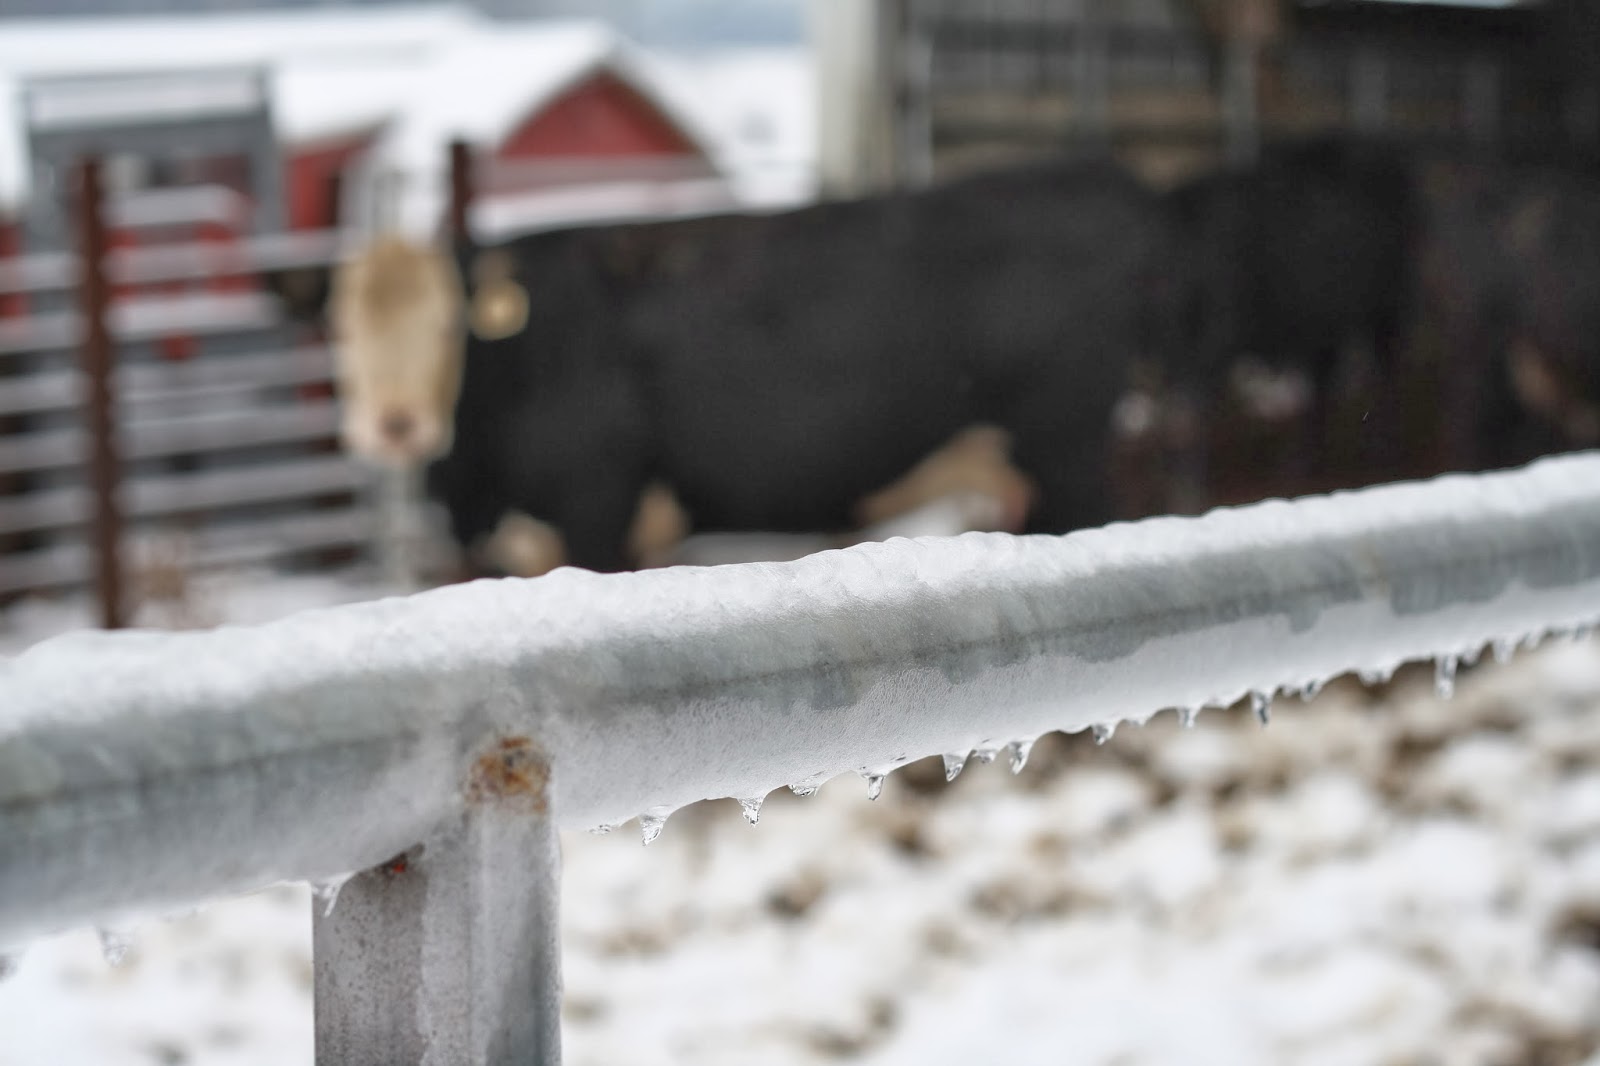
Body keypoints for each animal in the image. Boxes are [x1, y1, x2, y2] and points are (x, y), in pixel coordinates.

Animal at [280, 156, 1178, 573]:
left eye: (447, 326)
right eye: (338, 327)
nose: (395, 424)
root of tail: (1094, 176)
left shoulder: (598, 502)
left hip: (1064, 437)